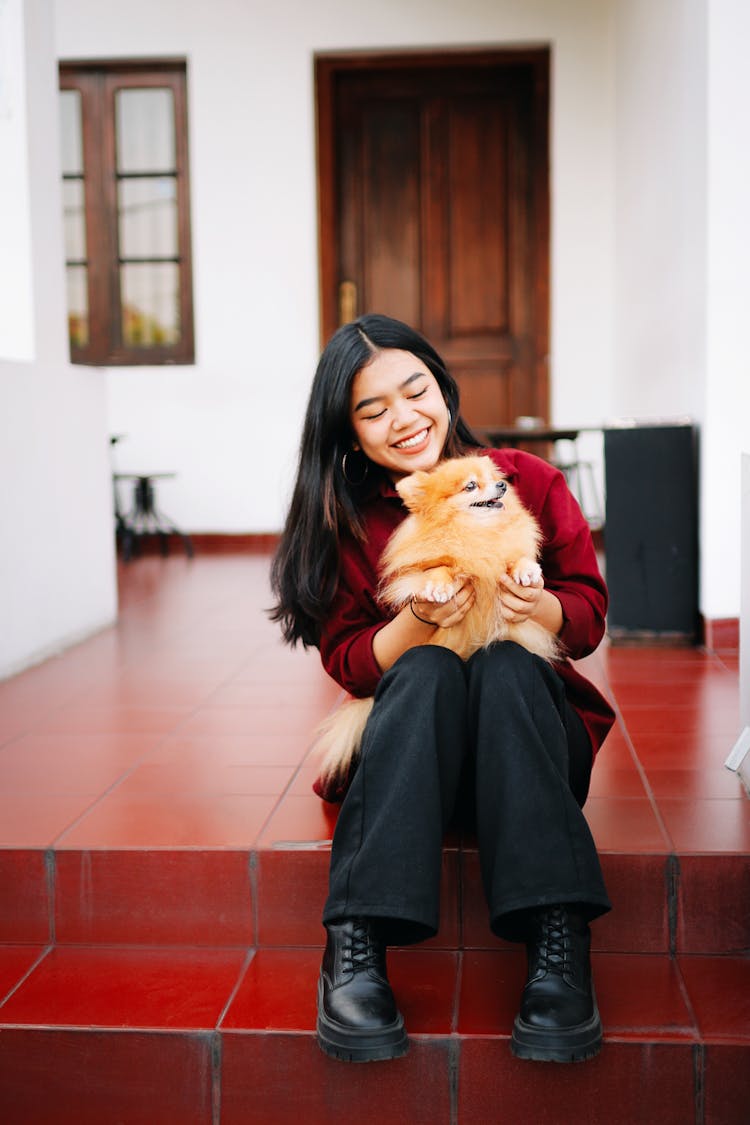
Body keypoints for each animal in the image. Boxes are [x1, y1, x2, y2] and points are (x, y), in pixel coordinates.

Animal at [314, 456, 557, 792]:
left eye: (494, 478)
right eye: (471, 486)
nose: (502, 485)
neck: (476, 534)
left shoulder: (507, 551)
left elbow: (517, 558)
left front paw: (526, 571)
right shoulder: (423, 567)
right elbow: (439, 568)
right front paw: (439, 587)